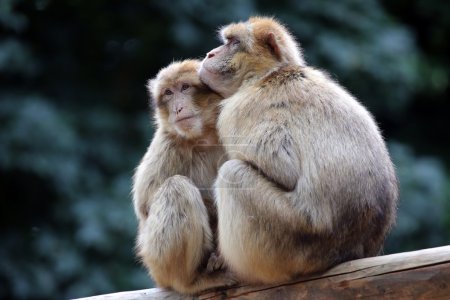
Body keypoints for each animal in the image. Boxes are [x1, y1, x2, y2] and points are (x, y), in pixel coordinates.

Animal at [132, 59, 234, 294]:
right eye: (168, 93)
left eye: (184, 88)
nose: (177, 107)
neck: (204, 137)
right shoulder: (167, 142)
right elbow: (145, 205)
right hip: (156, 263)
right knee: (176, 187)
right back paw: (191, 281)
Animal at [199, 17, 400, 284]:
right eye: (226, 41)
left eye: (233, 42)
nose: (210, 53)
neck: (267, 75)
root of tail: (351, 250)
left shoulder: (239, 110)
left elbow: (283, 167)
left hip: (292, 239)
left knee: (233, 174)